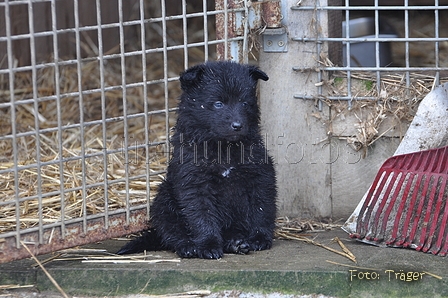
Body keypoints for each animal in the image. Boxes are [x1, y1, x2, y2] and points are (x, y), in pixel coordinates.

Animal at [116, 60, 276, 258]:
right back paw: (189, 247)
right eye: (218, 104)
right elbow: (202, 216)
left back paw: (235, 243)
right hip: (164, 200)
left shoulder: (261, 175)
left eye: (245, 103)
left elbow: (262, 209)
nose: (237, 125)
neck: (222, 149)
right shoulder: (195, 184)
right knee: (171, 231)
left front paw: (259, 238)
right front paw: (208, 245)